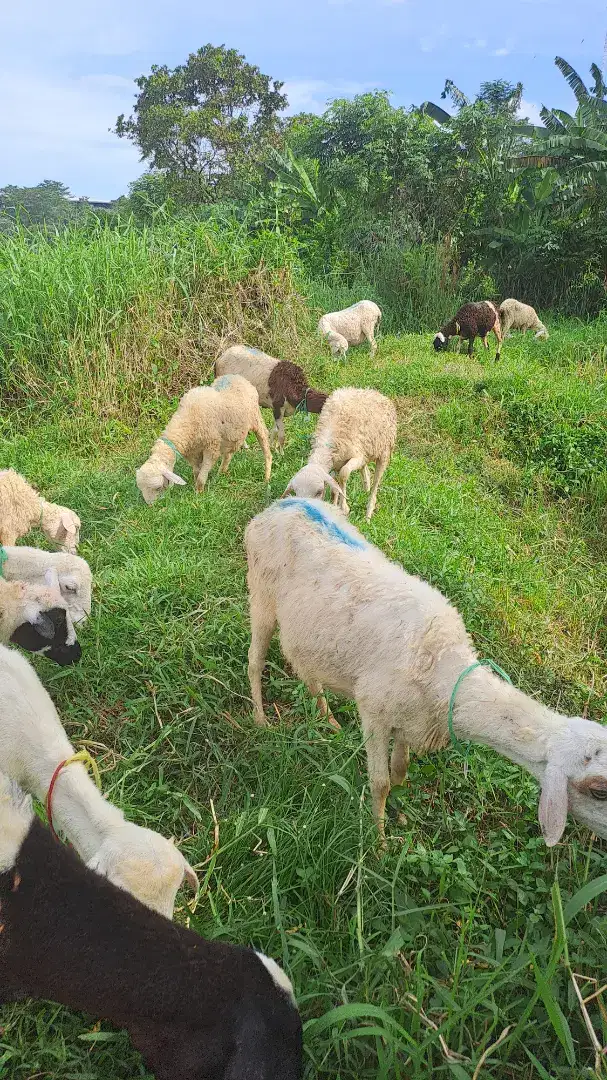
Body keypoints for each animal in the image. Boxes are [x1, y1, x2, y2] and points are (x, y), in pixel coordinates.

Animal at [137, 373, 272, 503]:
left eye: (158, 487)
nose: (151, 506)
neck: (187, 421)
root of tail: (238, 377)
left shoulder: (211, 447)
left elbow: (202, 475)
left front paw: (199, 493)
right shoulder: (193, 452)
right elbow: (197, 471)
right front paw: (196, 486)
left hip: (256, 418)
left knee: (266, 446)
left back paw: (267, 477)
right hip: (231, 432)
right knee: (229, 454)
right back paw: (221, 473)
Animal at [244, 494, 607, 842]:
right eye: (599, 791)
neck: (444, 667)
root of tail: (281, 505)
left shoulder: (411, 720)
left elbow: (401, 769)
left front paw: (400, 808)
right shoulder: (374, 710)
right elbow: (380, 783)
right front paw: (379, 842)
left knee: (307, 671)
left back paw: (328, 719)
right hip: (260, 592)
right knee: (254, 660)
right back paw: (261, 720)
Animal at [280, 388, 395, 522]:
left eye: (319, 492)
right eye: (296, 493)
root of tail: (373, 392)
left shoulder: (357, 457)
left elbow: (344, 474)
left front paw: (343, 506)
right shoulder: (335, 463)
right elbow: (334, 488)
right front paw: (334, 507)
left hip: (384, 452)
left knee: (376, 483)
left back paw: (368, 513)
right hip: (368, 448)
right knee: (365, 468)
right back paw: (366, 485)